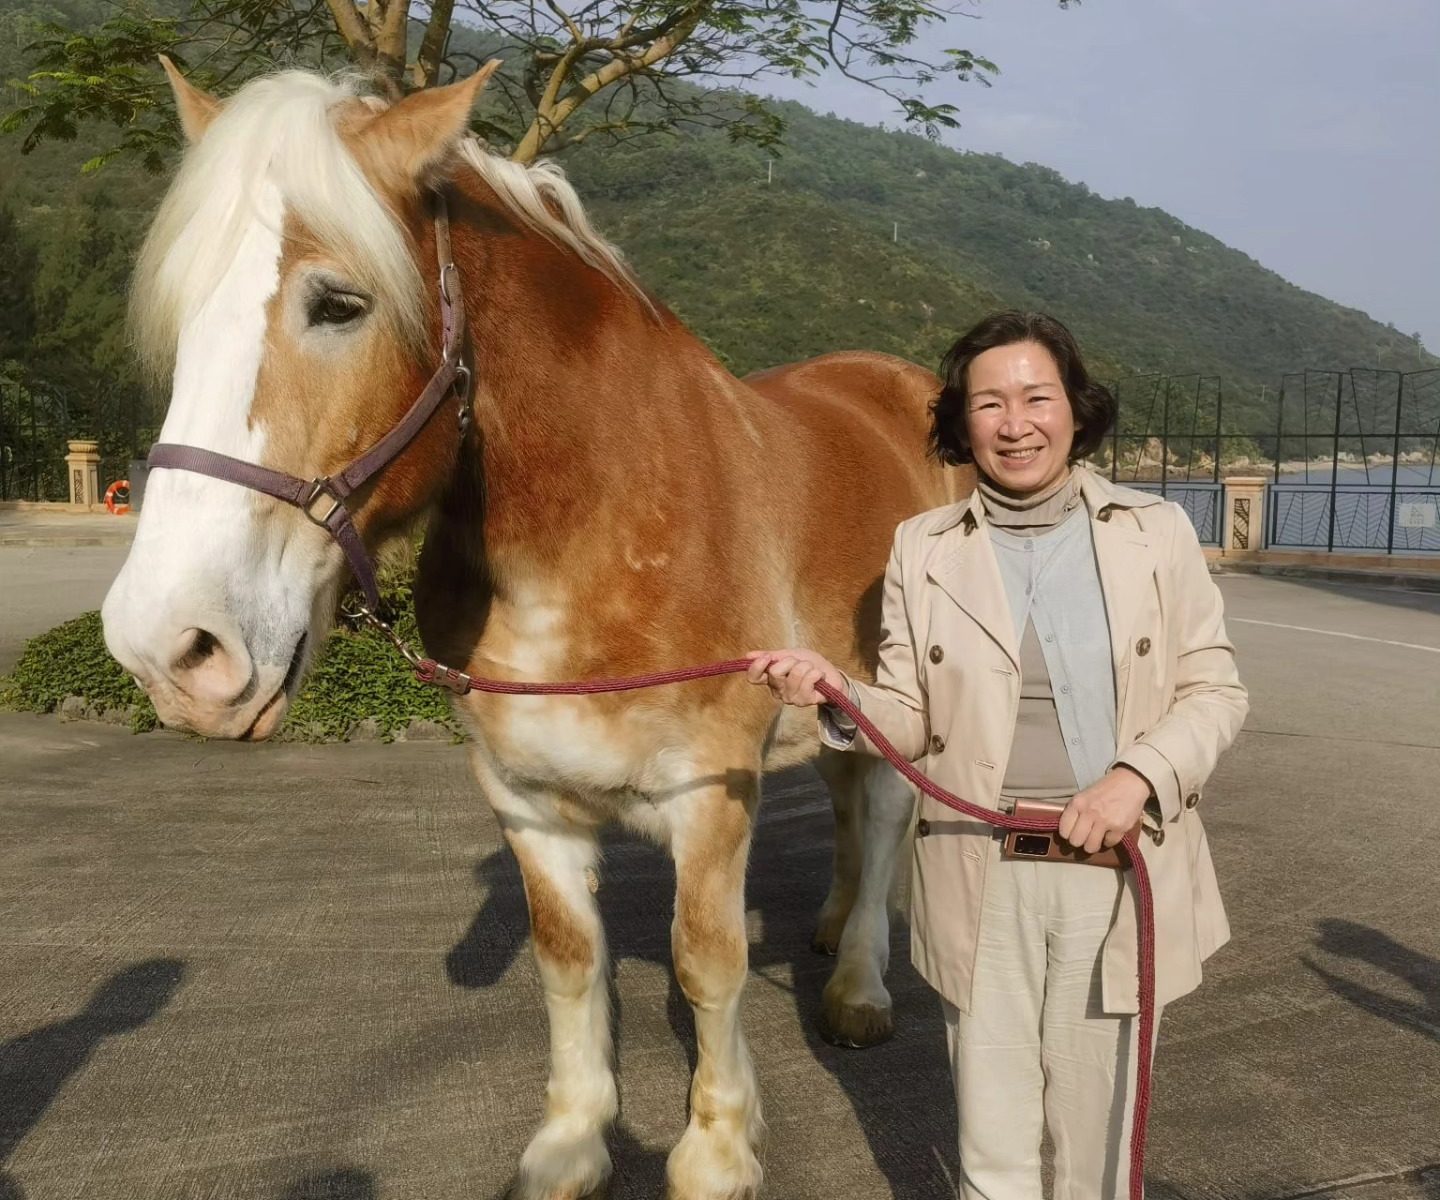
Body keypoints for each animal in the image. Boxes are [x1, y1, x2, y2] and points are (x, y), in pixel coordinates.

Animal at [104, 65, 967, 1198]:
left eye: (339, 304)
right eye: (180, 315)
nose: (168, 647)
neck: (602, 528)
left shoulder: (713, 791)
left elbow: (708, 960)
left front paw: (717, 1148)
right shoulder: (524, 796)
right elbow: (569, 960)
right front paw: (571, 1139)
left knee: (884, 813)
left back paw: (860, 987)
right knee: (845, 805)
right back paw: (828, 930)